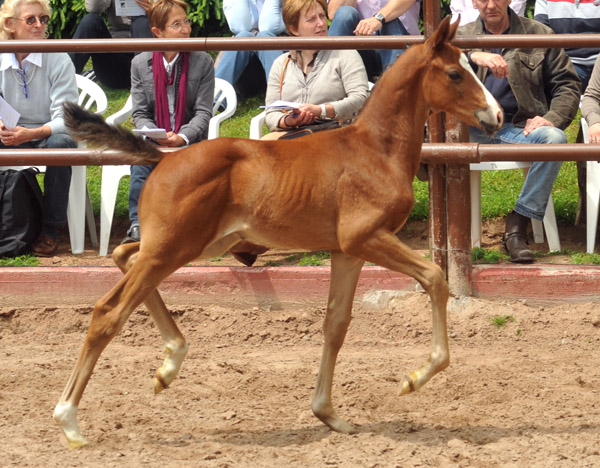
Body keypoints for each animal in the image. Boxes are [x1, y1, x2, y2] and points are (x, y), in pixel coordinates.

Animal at [54, 17, 502, 450]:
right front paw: (414, 378)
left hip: (192, 245)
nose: (496, 116)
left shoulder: (347, 251)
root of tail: (165, 157)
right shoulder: (366, 238)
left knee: (122, 256)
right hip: (173, 247)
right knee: (108, 311)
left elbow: (336, 324)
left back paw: (170, 363)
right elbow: (436, 278)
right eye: (454, 74)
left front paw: (328, 414)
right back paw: (69, 421)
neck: (375, 150)